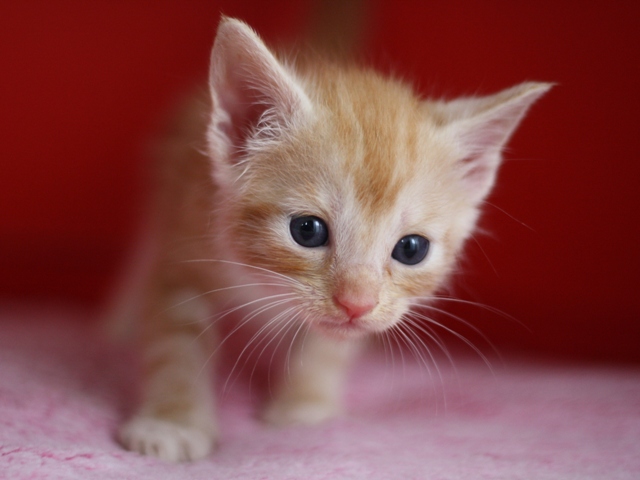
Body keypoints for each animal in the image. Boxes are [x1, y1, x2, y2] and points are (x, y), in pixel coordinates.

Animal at [116, 17, 552, 462]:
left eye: (411, 249)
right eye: (307, 230)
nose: (356, 304)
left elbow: (329, 345)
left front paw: (304, 404)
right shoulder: (184, 241)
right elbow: (175, 346)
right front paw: (172, 421)